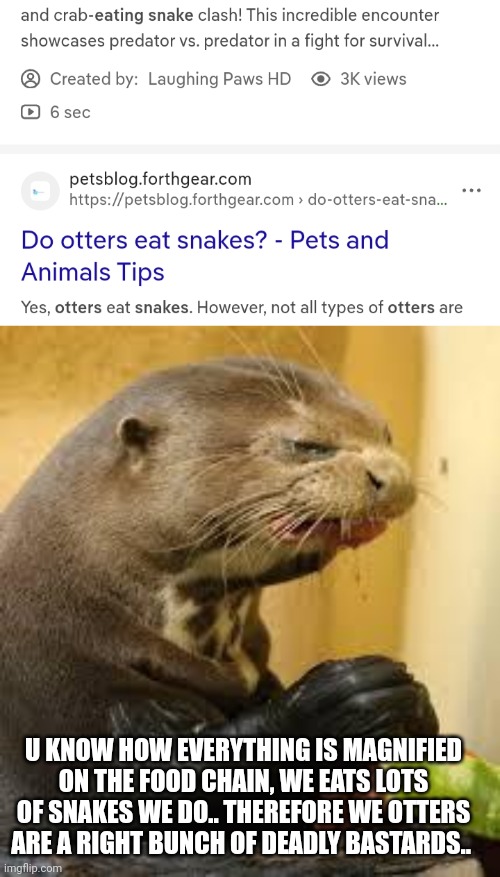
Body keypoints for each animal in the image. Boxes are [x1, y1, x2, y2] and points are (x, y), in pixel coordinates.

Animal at [0, 357, 451, 875]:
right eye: (307, 445)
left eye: (386, 432)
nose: (393, 475)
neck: (87, 606)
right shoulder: (85, 697)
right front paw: (335, 703)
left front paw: (416, 707)